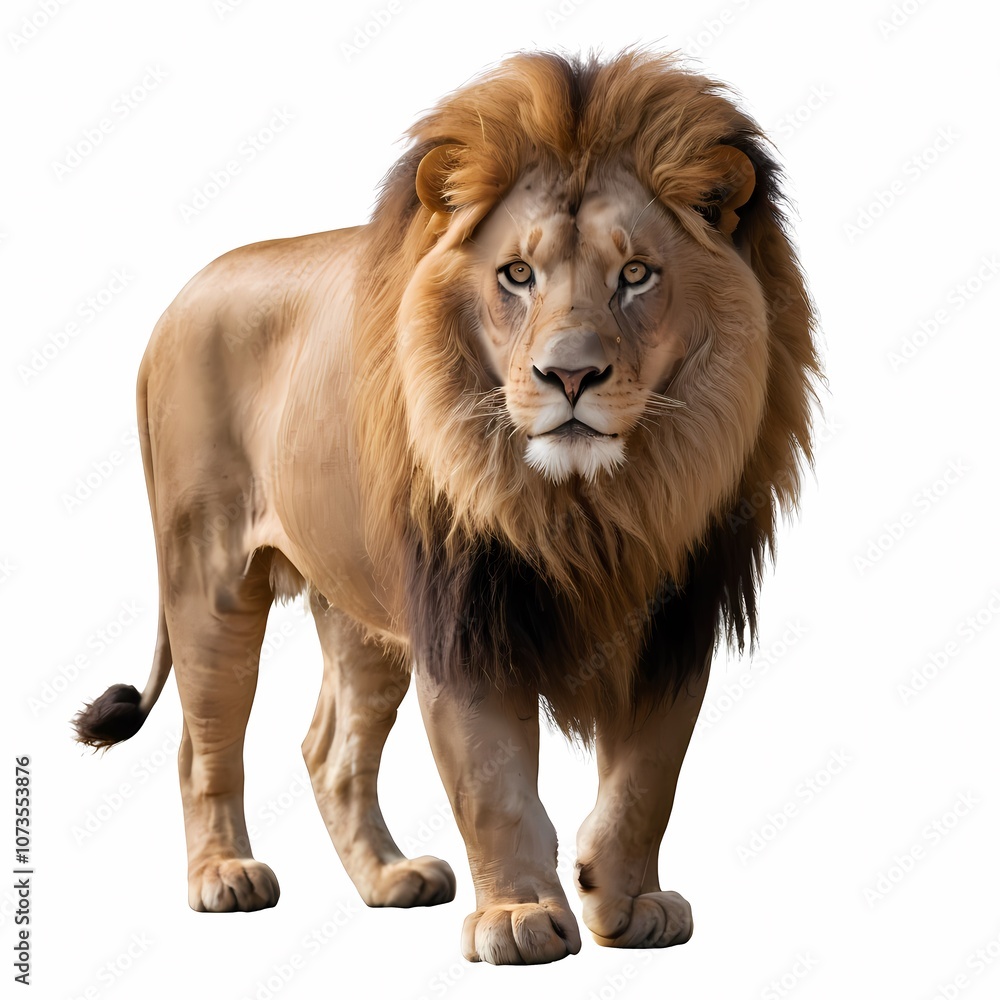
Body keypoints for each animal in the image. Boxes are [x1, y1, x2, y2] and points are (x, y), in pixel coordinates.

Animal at [72, 49, 819, 965]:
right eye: (517, 274)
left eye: (636, 274)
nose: (570, 376)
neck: (592, 507)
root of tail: (180, 297)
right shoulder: (465, 614)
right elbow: (493, 783)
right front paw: (520, 917)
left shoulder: (674, 619)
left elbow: (648, 779)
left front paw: (625, 900)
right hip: (208, 574)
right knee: (202, 739)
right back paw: (225, 876)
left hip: (358, 610)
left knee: (329, 750)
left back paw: (389, 879)